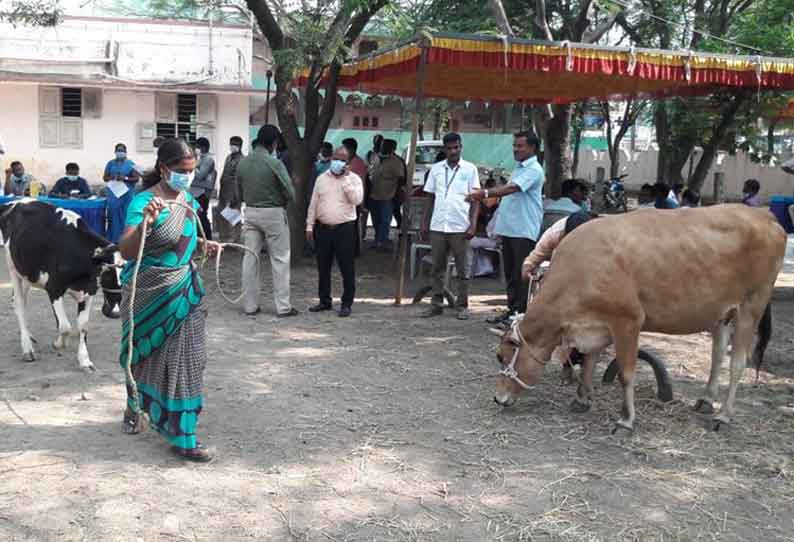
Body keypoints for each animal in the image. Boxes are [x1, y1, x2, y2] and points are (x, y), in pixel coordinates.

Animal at [0, 201, 121, 374]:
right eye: (108, 274)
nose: (115, 313)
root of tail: (14, 203)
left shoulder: (89, 291)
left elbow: (83, 326)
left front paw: (85, 360)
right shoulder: (54, 288)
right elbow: (64, 326)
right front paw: (58, 344)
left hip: (28, 273)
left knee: (20, 300)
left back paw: (29, 336)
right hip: (13, 268)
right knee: (19, 304)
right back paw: (27, 348)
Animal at [492, 206, 784, 436]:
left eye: (502, 356)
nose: (497, 398)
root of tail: (765, 215)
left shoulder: (628, 321)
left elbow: (626, 373)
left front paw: (626, 420)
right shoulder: (597, 325)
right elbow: (588, 363)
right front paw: (582, 399)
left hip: (752, 305)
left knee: (738, 363)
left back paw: (723, 416)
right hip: (722, 313)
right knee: (718, 354)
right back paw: (706, 400)